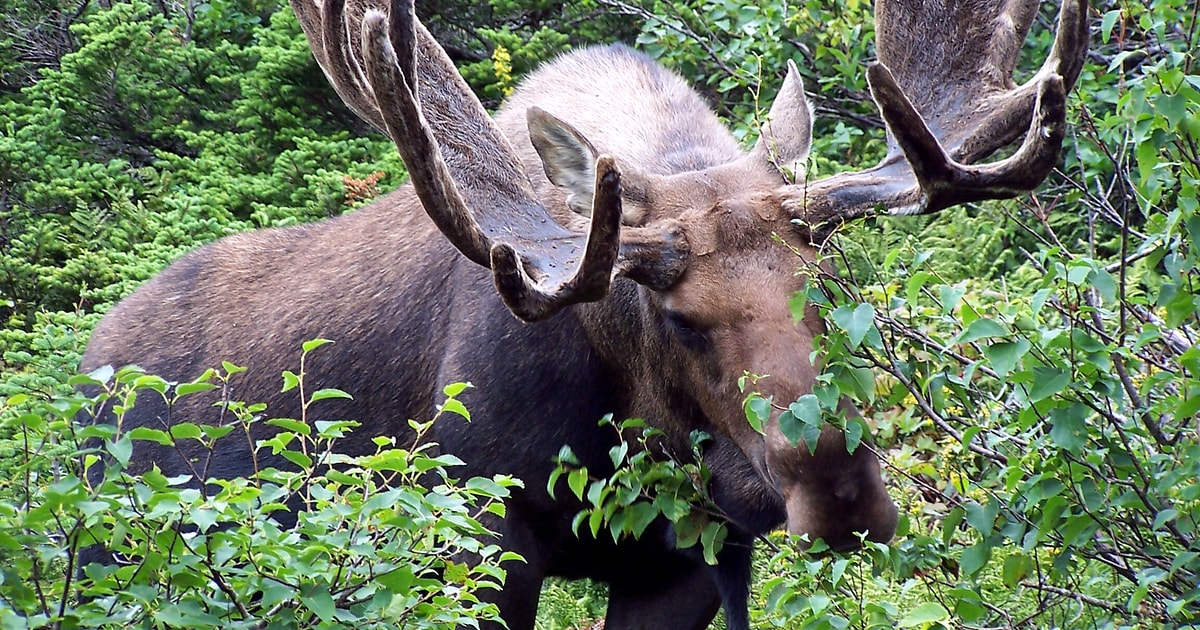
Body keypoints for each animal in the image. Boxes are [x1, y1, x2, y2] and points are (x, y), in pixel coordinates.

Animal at [75, 0, 1089, 624]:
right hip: (116, 559)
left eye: (829, 284)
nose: (840, 493)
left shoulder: (685, 564)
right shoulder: (476, 536)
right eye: (676, 317)